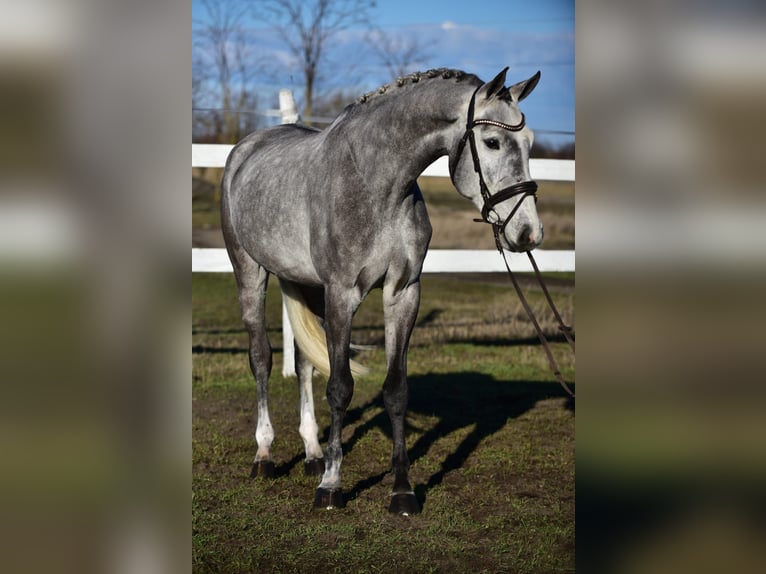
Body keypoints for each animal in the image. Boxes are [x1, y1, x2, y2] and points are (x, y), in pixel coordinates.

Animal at [221, 67, 543, 515]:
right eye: (492, 142)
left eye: (529, 143)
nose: (528, 233)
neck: (376, 184)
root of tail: (246, 148)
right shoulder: (342, 296)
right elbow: (340, 388)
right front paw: (331, 487)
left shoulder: (403, 293)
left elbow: (396, 390)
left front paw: (402, 490)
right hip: (249, 273)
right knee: (261, 359)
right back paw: (265, 456)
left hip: (304, 284)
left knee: (303, 363)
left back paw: (312, 452)